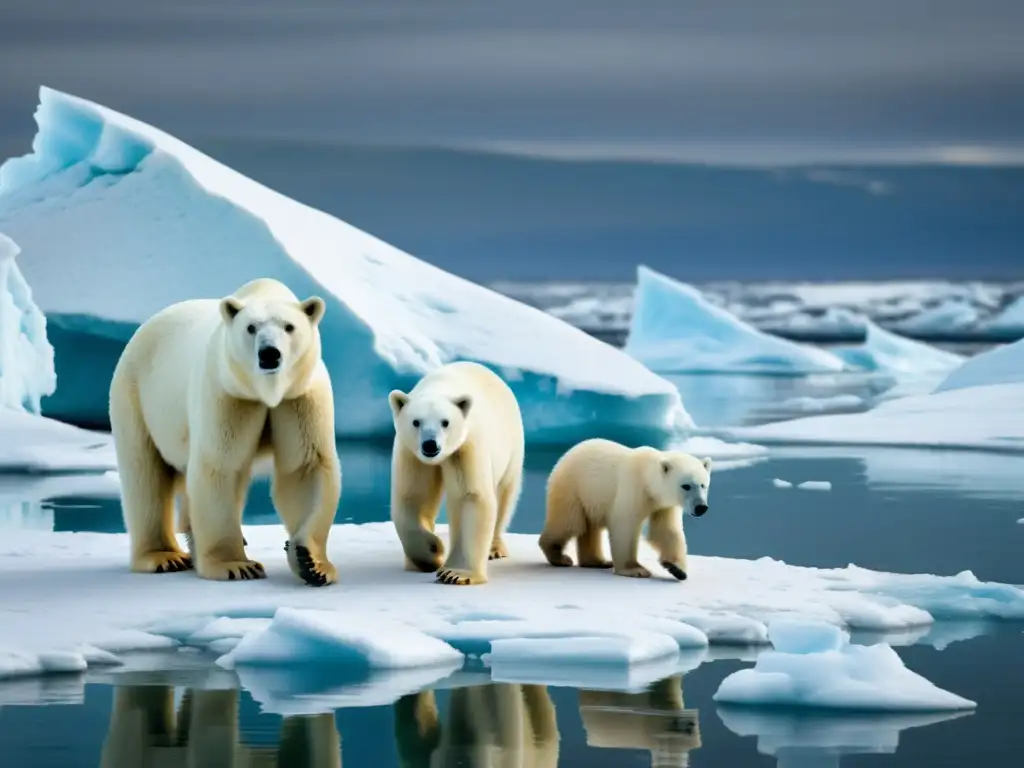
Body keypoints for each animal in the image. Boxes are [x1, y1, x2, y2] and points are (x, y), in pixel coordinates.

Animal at [109, 280, 339, 585]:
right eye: (251, 327)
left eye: (289, 326)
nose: (269, 354)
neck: (266, 392)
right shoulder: (228, 394)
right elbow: (220, 466)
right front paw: (236, 566)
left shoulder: (299, 397)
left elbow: (305, 467)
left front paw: (312, 562)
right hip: (137, 397)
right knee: (145, 473)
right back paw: (164, 557)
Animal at [387, 364, 524, 585]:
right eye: (416, 422)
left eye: (445, 422)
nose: (430, 445)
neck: (441, 385)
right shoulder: (412, 455)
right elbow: (414, 497)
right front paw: (432, 552)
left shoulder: (466, 445)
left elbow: (470, 496)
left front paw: (455, 573)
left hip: (511, 447)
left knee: (504, 495)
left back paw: (494, 548)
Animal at [536, 442, 712, 581]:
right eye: (686, 486)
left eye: (703, 485)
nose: (701, 507)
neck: (647, 478)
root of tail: (565, 456)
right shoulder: (633, 487)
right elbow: (625, 525)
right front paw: (636, 570)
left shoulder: (663, 505)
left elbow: (665, 530)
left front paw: (677, 569)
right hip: (573, 488)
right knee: (569, 523)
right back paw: (559, 557)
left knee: (590, 527)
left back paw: (598, 562)